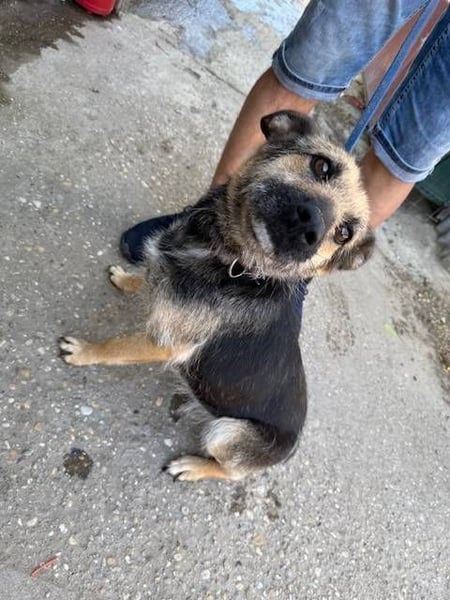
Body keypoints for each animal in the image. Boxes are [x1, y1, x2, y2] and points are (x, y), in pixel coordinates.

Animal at [59, 111, 375, 482]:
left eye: (343, 233)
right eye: (322, 166)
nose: (310, 227)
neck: (234, 262)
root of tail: (290, 449)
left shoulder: (165, 344)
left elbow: (117, 347)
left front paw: (85, 351)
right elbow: (148, 274)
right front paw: (127, 278)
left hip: (227, 432)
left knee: (230, 471)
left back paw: (192, 467)